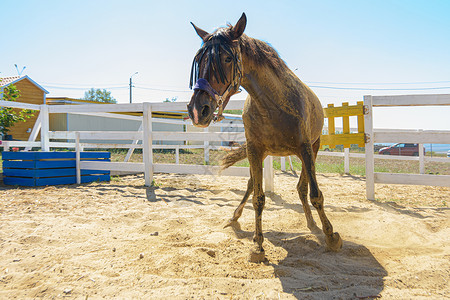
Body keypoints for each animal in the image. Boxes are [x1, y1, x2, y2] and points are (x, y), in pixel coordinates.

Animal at [188, 12, 342, 262]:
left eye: (227, 59)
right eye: (199, 60)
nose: (197, 110)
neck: (272, 104)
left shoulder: (306, 148)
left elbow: (315, 194)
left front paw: (331, 236)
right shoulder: (254, 150)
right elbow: (258, 197)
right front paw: (258, 245)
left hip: (313, 147)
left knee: (302, 188)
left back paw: (312, 223)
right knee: (253, 185)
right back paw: (235, 217)